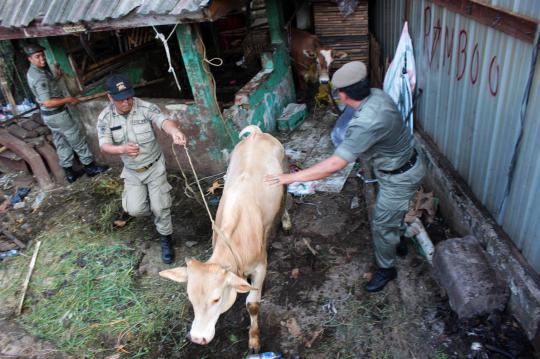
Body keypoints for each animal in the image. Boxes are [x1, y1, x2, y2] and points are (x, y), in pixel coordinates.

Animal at [158, 125, 288, 352]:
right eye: (190, 298)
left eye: (216, 299)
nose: (197, 338)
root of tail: (257, 133)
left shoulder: (260, 265)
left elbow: (253, 304)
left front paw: (254, 340)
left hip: (285, 166)